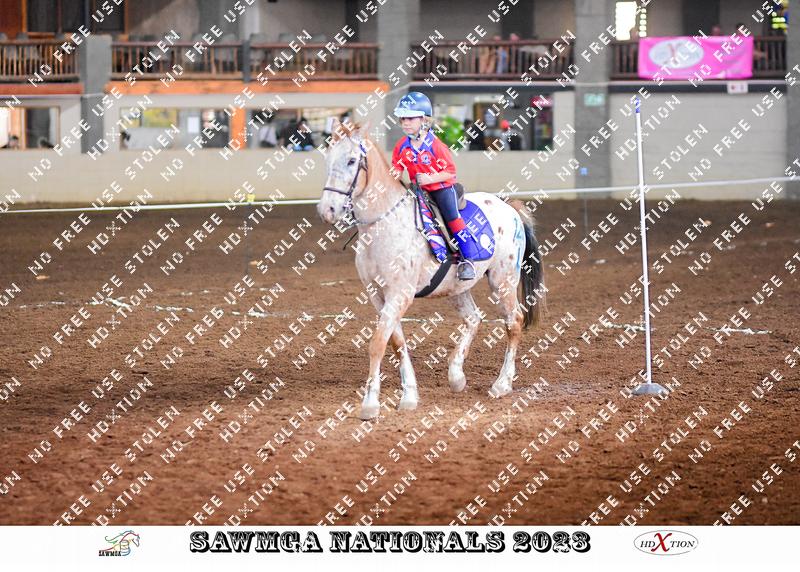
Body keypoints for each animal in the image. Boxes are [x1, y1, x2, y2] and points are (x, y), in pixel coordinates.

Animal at [316, 121, 545, 420]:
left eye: (352, 160)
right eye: (327, 160)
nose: (327, 209)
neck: (384, 224)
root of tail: (510, 208)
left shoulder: (399, 294)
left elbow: (377, 343)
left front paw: (370, 404)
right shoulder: (378, 295)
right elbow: (396, 342)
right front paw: (410, 396)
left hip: (503, 280)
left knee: (513, 322)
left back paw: (501, 384)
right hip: (458, 287)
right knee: (474, 319)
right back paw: (456, 375)